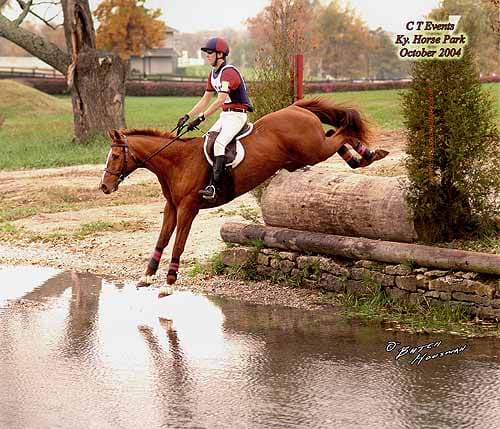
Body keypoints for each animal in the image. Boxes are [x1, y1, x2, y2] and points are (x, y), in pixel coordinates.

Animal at [98, 98, 386, 290]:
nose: (104, 187)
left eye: (115, 156)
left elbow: (178, 242)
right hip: (301, 157)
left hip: (313, 150)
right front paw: (147, 276)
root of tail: (296, 108)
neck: (176, 162)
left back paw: (370, 155)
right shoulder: (172, 207)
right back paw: (362, 157)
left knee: (342, 132)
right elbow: (163, 239)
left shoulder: (188, 208)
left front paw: (169, 284)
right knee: (336, 133)